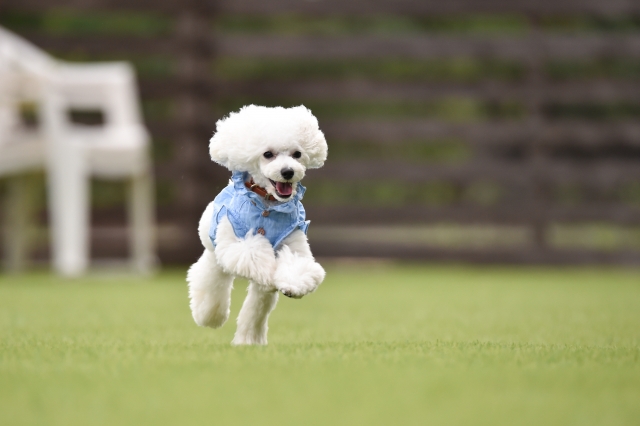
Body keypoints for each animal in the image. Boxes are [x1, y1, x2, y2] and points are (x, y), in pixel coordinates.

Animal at [184, 105, 324, 344]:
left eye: (297, 154)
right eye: (268, 154)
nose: (288, 171)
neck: (267, 203)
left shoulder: (293, 239)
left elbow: (297, 264)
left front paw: (292, 284)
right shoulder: (234, 241)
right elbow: (253, 253)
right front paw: (268, 270)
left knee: (257, 305)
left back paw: (248, 340)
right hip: (215, 253)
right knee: (210, 279)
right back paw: (209, 315)